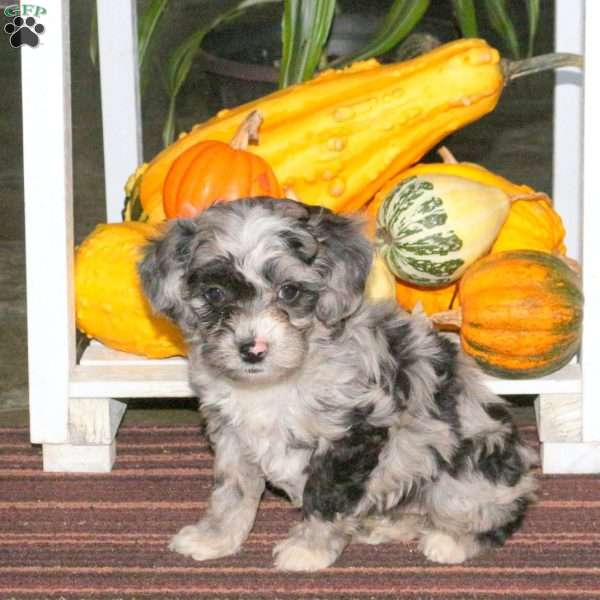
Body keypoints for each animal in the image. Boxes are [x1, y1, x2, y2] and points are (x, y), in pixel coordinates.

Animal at [141, 198, 540, 572]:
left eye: (289, 291)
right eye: (214, 294)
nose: (252, 350)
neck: (277, 381)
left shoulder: (353, 432)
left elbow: (326, 497)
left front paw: (309, 550)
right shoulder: (232, 434)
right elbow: (232, 492)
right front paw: (214, 539)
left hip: (467, 471)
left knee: (489, 512)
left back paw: (449, 541)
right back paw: (384, 525)